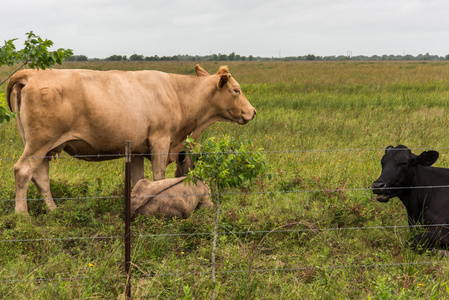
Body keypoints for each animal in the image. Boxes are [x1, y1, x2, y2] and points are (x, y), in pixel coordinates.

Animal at [6, 64, 256, 214]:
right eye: (236, 90)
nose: (252, 112)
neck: (177, 94)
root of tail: (35, 73)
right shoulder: (160, 141)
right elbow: (158, 177)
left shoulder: (136, 149)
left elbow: (138, 180)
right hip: (39, 142)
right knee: (23, 171)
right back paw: (22, 215)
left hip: (45, 147)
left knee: (41, 177)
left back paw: (53, 210)